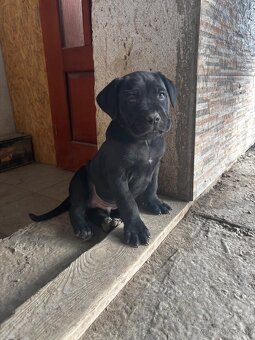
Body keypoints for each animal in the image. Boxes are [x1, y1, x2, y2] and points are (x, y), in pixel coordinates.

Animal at [29, 71, 176, 247]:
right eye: (131, 99)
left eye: (161, 95)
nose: (153, 118)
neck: (145, 141)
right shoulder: (118, 176)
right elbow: (129, 203)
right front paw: (136, 230)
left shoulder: (154, 166)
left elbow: (152, 187)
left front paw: (155, 203)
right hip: (80, 180)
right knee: (77, 209)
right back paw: (83, 227)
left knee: (95, 212)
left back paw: (108, 221)